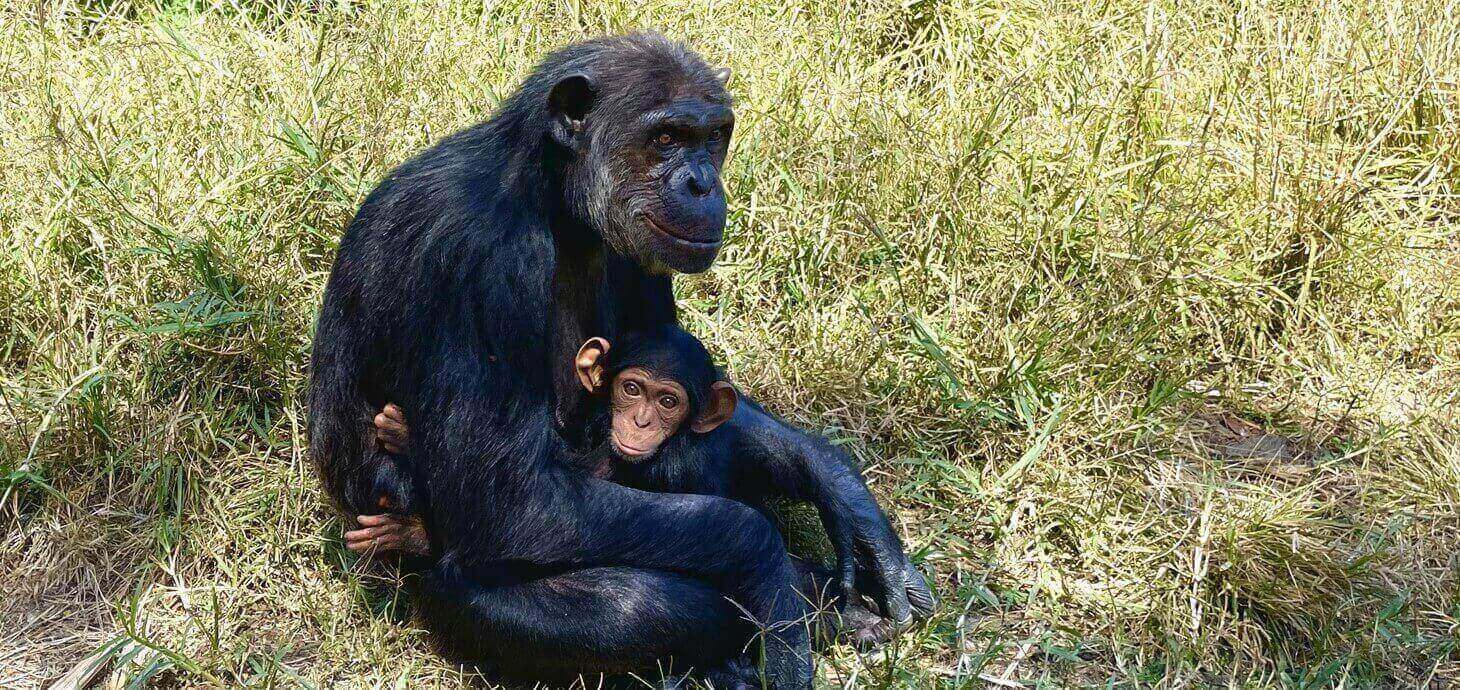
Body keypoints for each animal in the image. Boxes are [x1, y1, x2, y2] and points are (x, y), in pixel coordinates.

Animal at [309, 33, 934, 688]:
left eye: (713, 137)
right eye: (666, 138)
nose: (701, 182)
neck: (553, 200)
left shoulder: (642, 253)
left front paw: (847, 501)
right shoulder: (482, 264)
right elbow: (512, 504)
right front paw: (771, 569)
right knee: (624, 604)